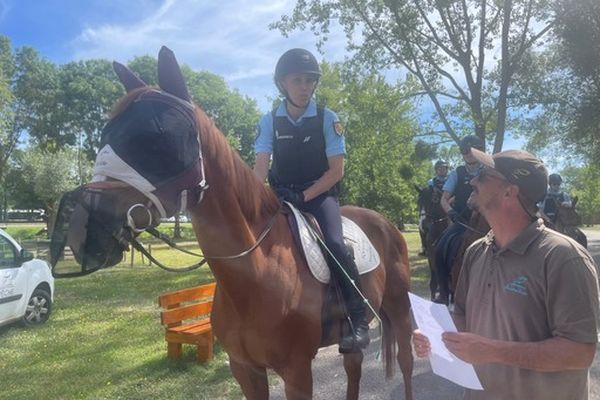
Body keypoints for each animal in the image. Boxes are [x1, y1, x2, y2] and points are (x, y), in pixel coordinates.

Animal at [55, 47, 412, 400]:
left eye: (157, 137)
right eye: (106, 134)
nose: (83, 232)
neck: (257, 272)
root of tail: (385, 223)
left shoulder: (297, 371)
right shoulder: (245, 369)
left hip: (398, 307)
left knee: (406, 363)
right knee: (354, 369)